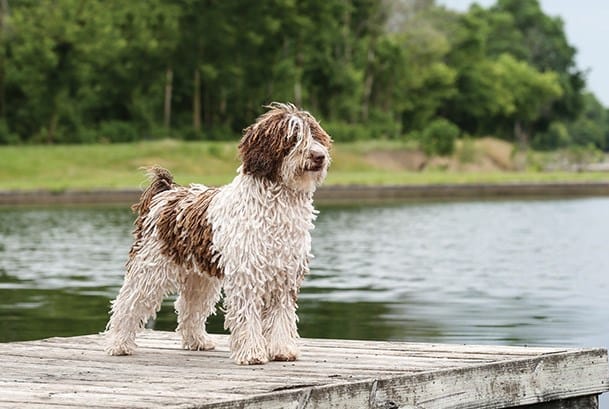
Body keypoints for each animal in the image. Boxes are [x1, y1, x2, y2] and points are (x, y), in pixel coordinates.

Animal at [105, 102, 332, 364]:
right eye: (293, 137)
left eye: (316, 135)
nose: (319, 156)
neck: (277, 204)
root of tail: (165, 194)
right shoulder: (247, 274)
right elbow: (248, 316)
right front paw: (252, 353)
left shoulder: (285, 275)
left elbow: (281, 316)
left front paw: (282, 349)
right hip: (150, 268)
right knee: (128, 304)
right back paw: (118, 343)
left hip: (198, 278)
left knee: (190, 309)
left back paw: (197, 341)